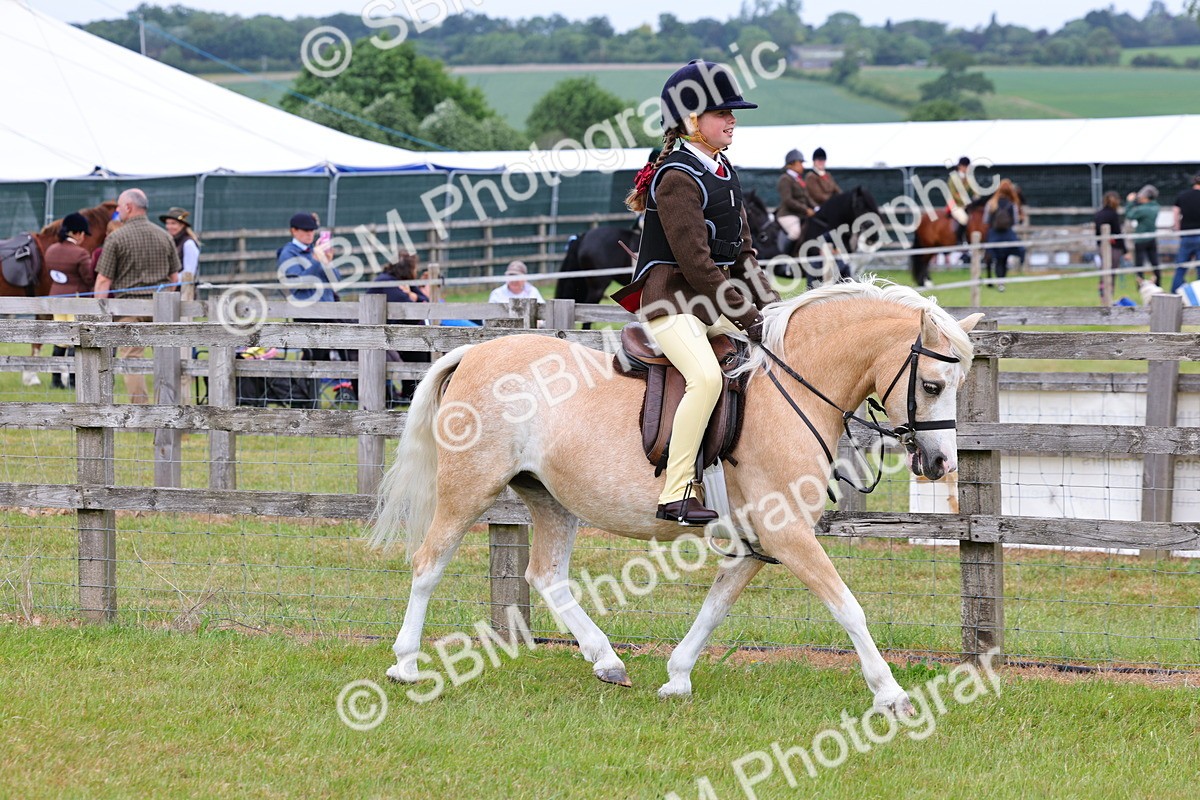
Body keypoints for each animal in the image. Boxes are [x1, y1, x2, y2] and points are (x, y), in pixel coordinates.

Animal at [370, 277, 984, 714]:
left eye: (958, 385)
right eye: (932, 385)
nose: (939, 465)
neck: (792, 389)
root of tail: (473, 353)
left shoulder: (758, 542)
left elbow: (714, 608)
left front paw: (677, 677)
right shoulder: (788, 534)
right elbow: (849, 607)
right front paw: (891, 694)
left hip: (551, 500)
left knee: (546, 576)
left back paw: (607, 661)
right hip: (469, 488)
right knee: (428, 563)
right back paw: (406, 665)